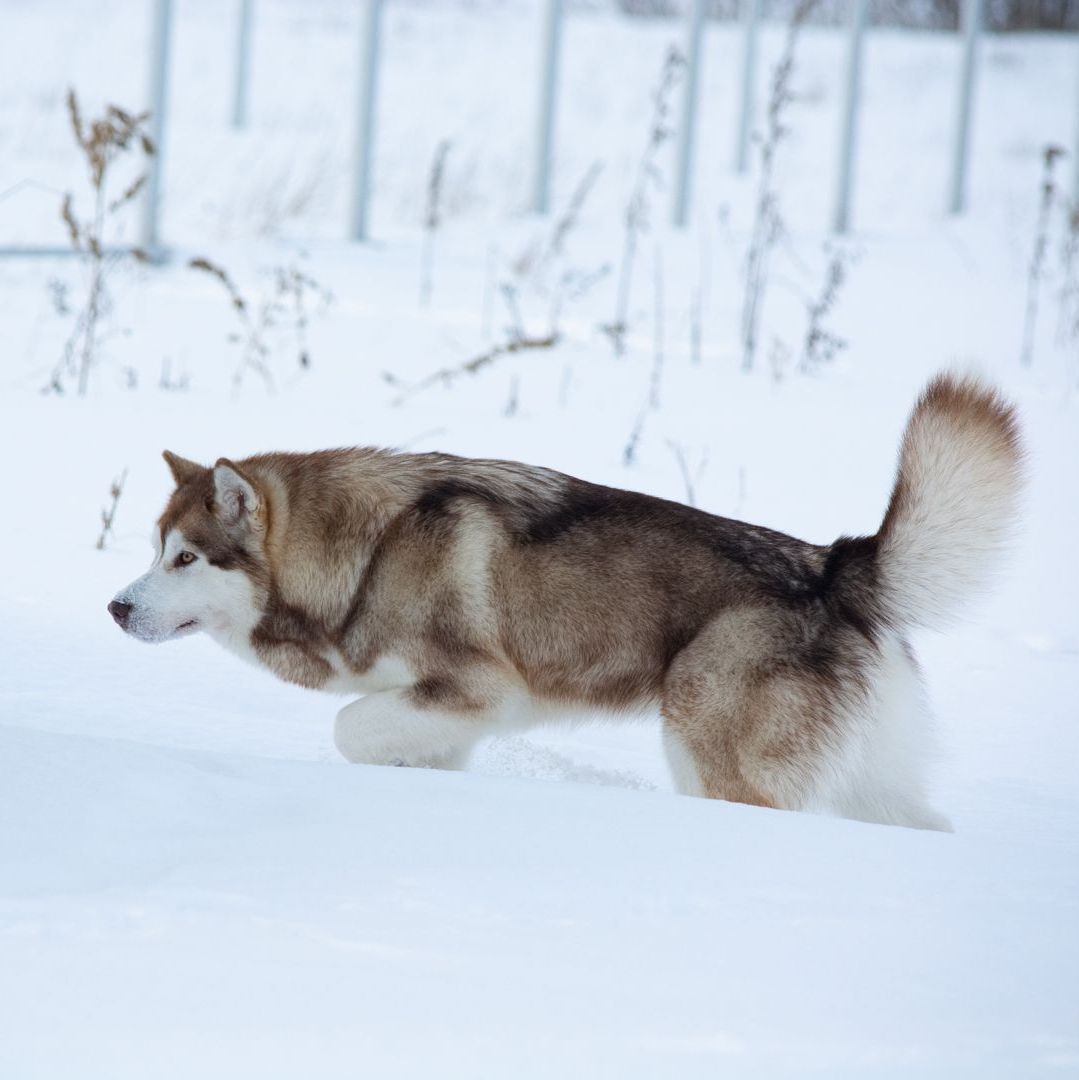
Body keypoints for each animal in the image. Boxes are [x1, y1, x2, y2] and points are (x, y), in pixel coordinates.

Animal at [109, 375, 1019, 829]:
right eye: (154, 550)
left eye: (185, 558)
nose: (116, 609)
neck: (366, 551)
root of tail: (835, 565)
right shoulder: (443, 713)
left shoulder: (479, 690)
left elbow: (348, 727)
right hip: (869, 782)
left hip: (707, 752)